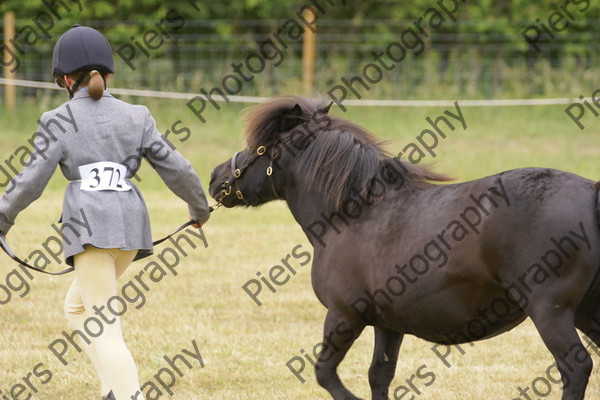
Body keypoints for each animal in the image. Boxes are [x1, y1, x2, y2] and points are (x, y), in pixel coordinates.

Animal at [209, 97, 600, 400]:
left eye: (260, 146)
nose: (215, 178)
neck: (352, 213)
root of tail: (591, 191)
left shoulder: (343, 316)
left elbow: (325, 373)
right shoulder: (388, 325)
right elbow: (378, 376)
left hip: (550, 311)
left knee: (576, 367)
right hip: (584, 312)